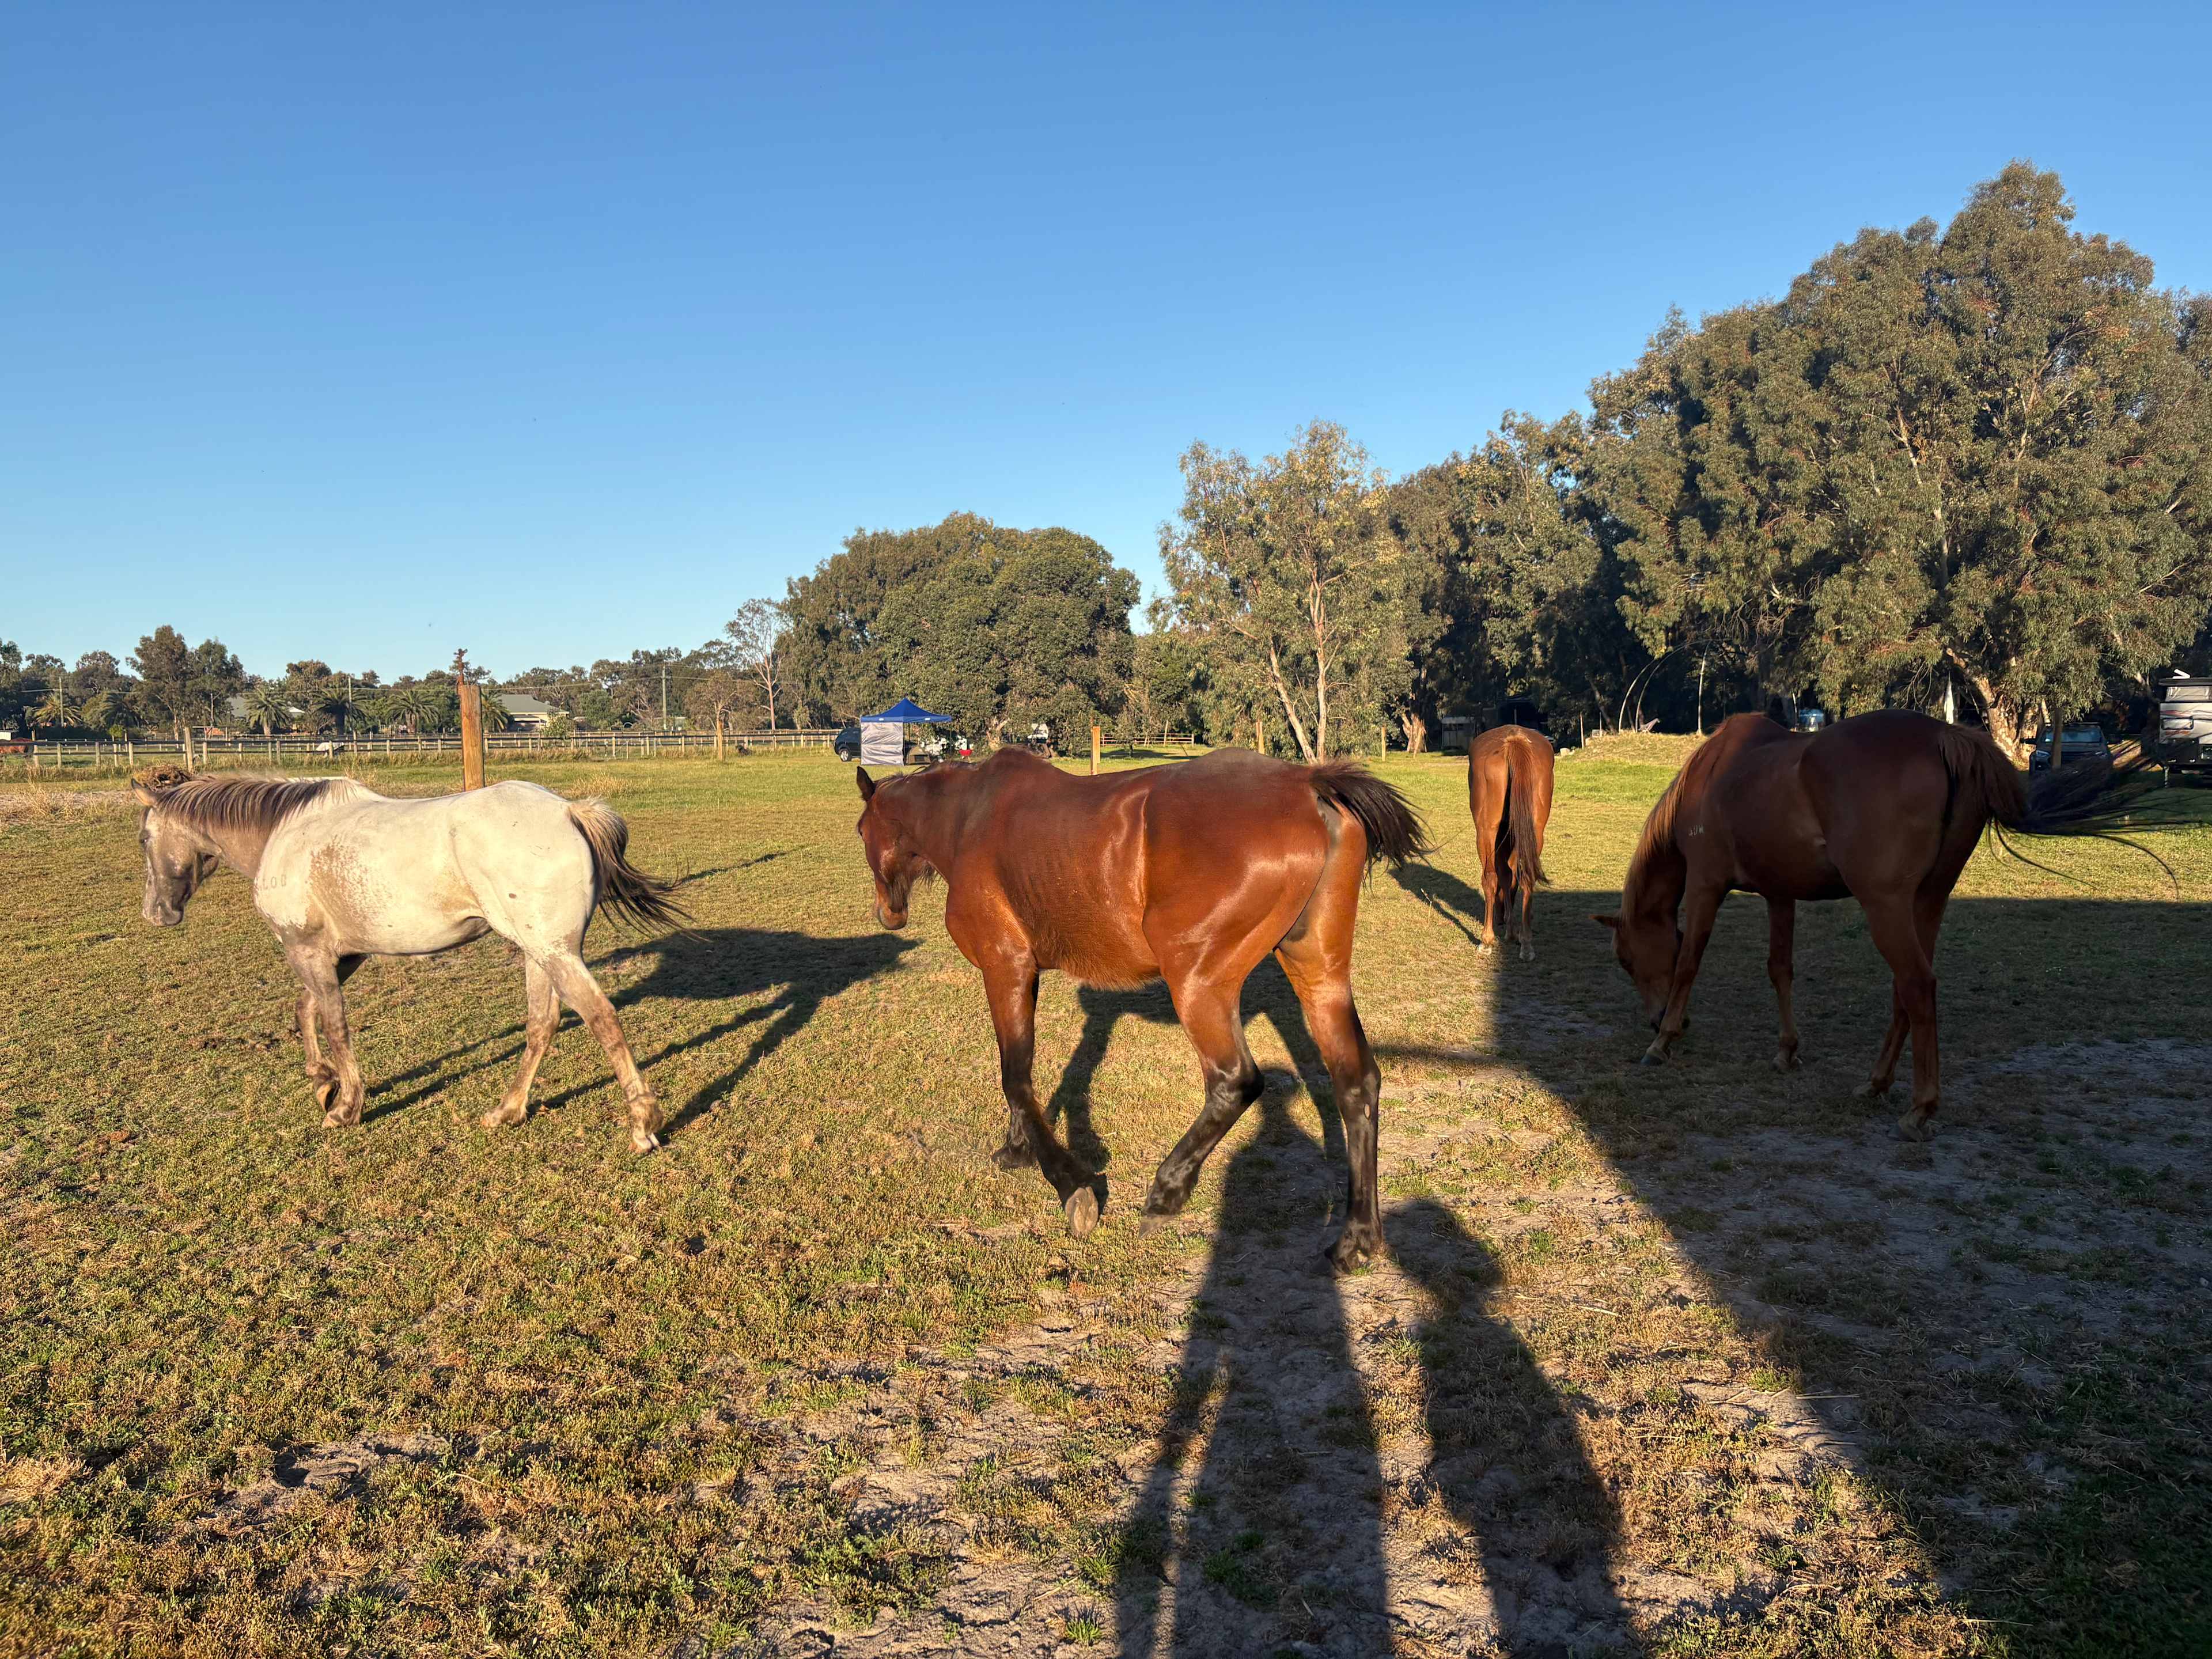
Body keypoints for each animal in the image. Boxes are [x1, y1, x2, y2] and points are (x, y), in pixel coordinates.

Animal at [131, 769, 686, 1150]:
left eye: (144, 837)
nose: (156, 913)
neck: (285, 835)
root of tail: (569, 810)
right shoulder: (345, 953)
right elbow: (306, 1010)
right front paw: (323, 1081)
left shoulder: (307, 949)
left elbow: (333, 1023)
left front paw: (345, 1106)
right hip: (540, 954)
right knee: (542, 1025)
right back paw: (508, 1110)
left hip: (554, 953)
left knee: (601, 1019)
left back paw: (642, 1125)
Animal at [854, 746, 1429, 1268]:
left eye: (861, 831)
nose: (889, 913)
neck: (968, 818)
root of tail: (1306, 784)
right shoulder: (1024, 977)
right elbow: (1023, 1072)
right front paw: (1018, 1149)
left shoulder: (1005, 969)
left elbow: (1014, 1077)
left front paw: (1070, 1185)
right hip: (1318, 974)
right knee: (1356, 1084)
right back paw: (1358, 1237)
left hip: (1197, 984)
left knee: (1236, 1081)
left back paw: (1167, 1191)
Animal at [1466, 724, 1554, 959]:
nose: (1500, 917)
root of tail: (1515, 741)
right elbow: (1510, 875)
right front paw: (1514, 933)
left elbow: (1500, 876)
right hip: (1535, 831)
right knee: (1527, 877)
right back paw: (1527, 944)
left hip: (1486, 830)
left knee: (1489, 877)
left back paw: (1486, 940)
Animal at [1594, 710, 2150, 1137]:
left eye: (1626, 961)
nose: (1655, 1018)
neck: (1713, 776)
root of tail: (1946, 737)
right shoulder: (1780, 894)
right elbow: (1780, 969)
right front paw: (1786, 1051)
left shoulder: (1707, 886)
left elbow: (1689, 962)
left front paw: (1662, 1042)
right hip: (1926, 902)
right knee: (1906, 991)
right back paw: (1877, 1083)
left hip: (1884, 906)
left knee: (1917, 985)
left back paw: (1920, 1108)